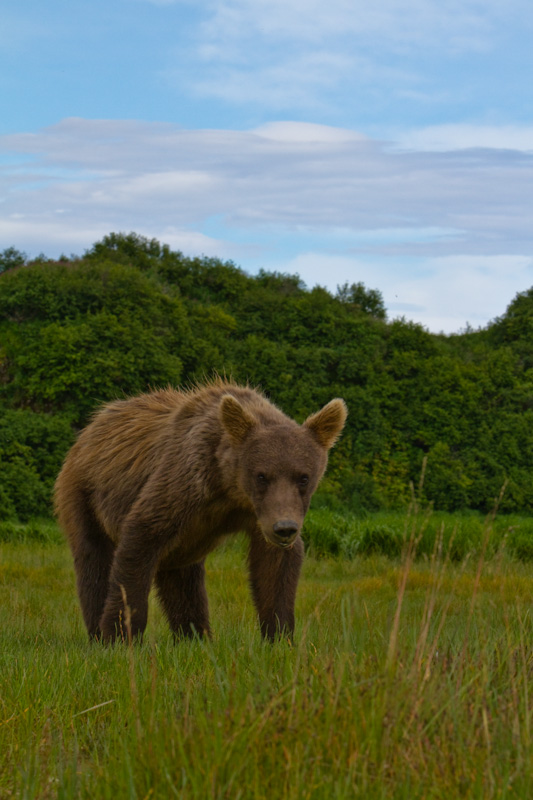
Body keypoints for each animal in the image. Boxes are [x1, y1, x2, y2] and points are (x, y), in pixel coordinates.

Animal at [54, 382, 344, 644]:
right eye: (262, 475)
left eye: (303, 477)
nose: (284, 528)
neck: (229, 487)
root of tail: (91, 427)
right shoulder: (184, 481)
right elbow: (141, 538)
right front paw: (119, 634)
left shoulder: (258, 514)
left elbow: (275, 568)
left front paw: (279, 636)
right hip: (85, 493)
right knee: (94, 560)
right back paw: (97, 633)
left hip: (186, 540)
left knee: (182, 578)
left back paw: (194, 636)